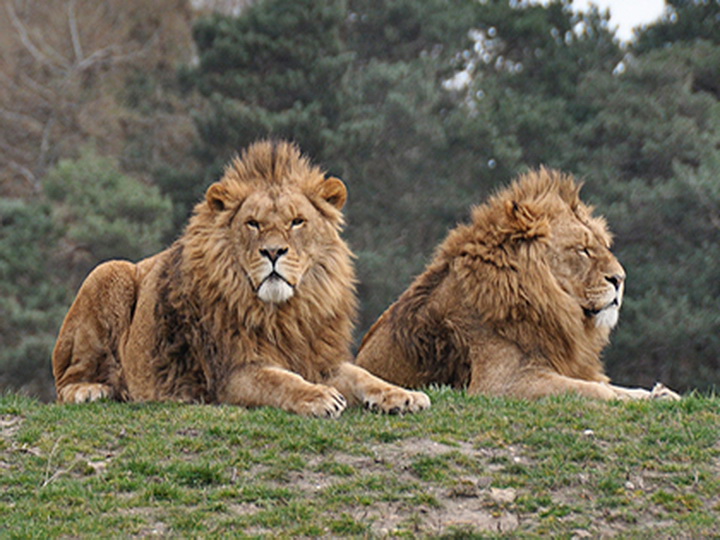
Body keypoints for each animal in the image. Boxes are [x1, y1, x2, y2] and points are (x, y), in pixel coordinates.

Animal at [54, 141, 434, 416]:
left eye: (297, 221)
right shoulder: (231, 371)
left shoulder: (319, 357)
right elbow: (280, 381)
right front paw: (319, 397)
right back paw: (92, 390)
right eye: (253, 223)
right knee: (65, 381)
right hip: (108, 271)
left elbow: (363, 376)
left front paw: (403, 395)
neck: (284, 313)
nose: (273, 252)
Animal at [358, 169, 680, 400]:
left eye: (604, 246)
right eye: (583, 250)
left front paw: (660, 395)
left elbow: (614, 387)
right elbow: (597, 391)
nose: (620, 279)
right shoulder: (500, 385)